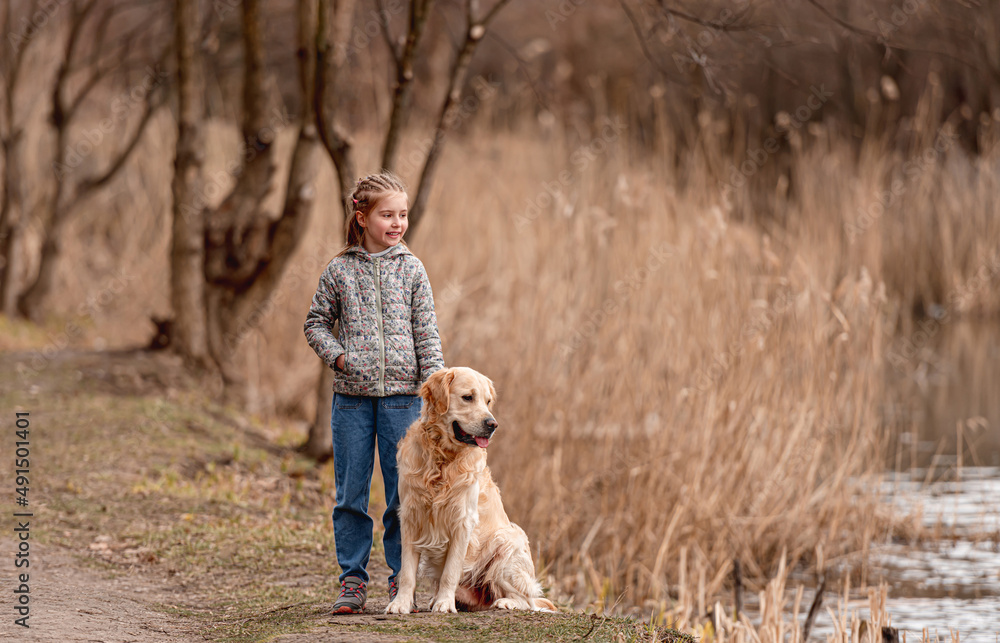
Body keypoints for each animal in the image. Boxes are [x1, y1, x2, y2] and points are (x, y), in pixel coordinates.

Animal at [384, 368, 560, 612]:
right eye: (468, 397)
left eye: (488, 401)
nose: (493, 424)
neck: (442, 460)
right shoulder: (411, 515)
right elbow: (407, 571)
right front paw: (400, 603)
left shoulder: (463, 521)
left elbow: (450, 571)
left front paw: (445, 603)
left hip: (506, 542)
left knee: (526, 600)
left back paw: (504, 602)